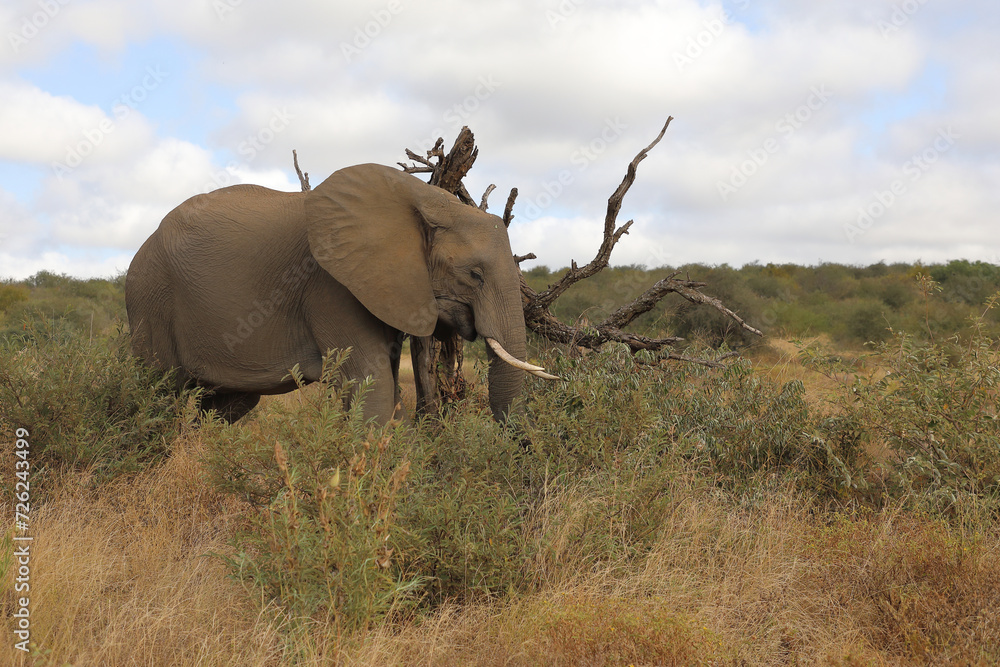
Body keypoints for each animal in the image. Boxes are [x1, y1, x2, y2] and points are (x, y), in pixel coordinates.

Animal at [125, 162, 555, 425]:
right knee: (160, 393)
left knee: (224, 406)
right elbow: (372, 385)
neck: (429, 201)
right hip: (151, 297)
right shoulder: (332, 287)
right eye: (474, 274)